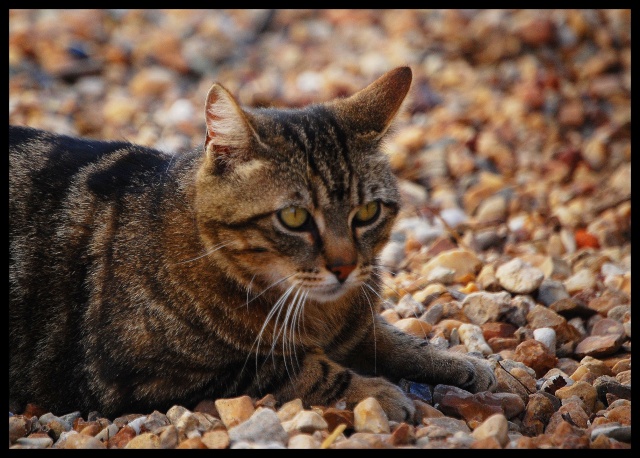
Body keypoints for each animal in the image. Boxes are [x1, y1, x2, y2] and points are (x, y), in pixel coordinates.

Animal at [10, 67, 498, 422]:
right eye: (295, 218)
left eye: (367, 213)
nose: (344, 267)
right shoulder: (139, 373)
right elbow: (293, 368)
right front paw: (375, 392)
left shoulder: (357, 320)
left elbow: (389, 336)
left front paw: (457, 362)